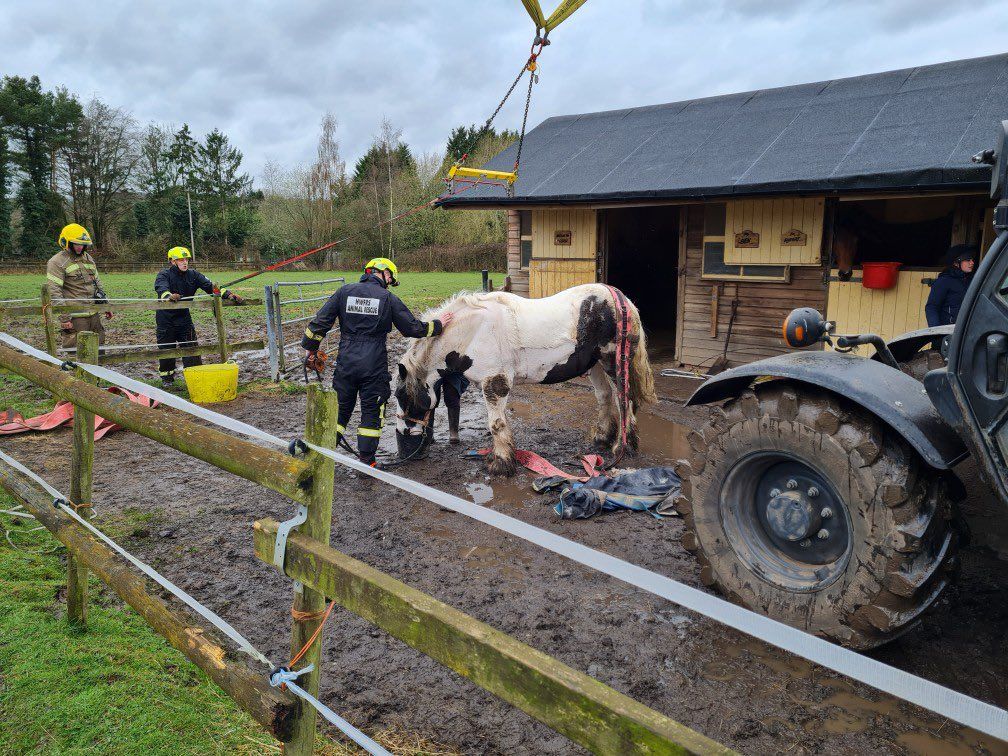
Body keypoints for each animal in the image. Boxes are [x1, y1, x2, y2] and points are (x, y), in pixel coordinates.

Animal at [393, 286, 661, 475]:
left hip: (612, 363)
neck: (473, 331)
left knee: (624, 401)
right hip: (594, 364)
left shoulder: (495, 383)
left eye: (402, 396)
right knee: (605, 397)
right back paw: (603, 439)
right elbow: (500, 424)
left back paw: (623, 448)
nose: (402, 439)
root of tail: (621, 299)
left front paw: (501, 465)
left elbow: (496, 424)